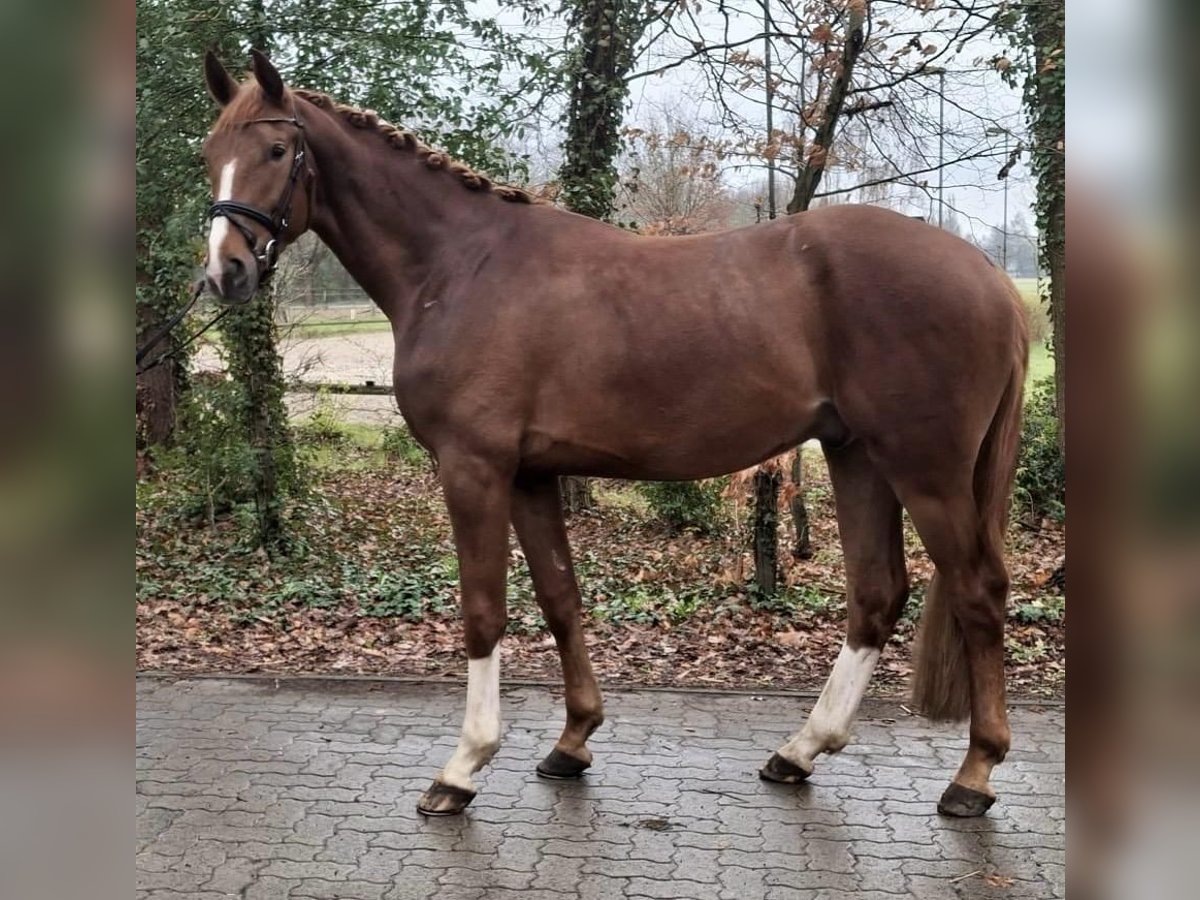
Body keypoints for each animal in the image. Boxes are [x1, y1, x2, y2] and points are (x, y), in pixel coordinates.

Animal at [200, 51, 1028, 819]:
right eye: (210, 151)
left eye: (277, 149)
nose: (225, 271)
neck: (461, 266)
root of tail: (991, 277)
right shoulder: (531, 474)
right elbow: (560, 598)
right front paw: (572, 741)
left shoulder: (474, 468)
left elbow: (483, 611)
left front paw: (462, 767)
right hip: (856, 455)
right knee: (876, 594)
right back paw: (800, 752)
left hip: (925, 469)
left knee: (978, 590)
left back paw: (973, 775)